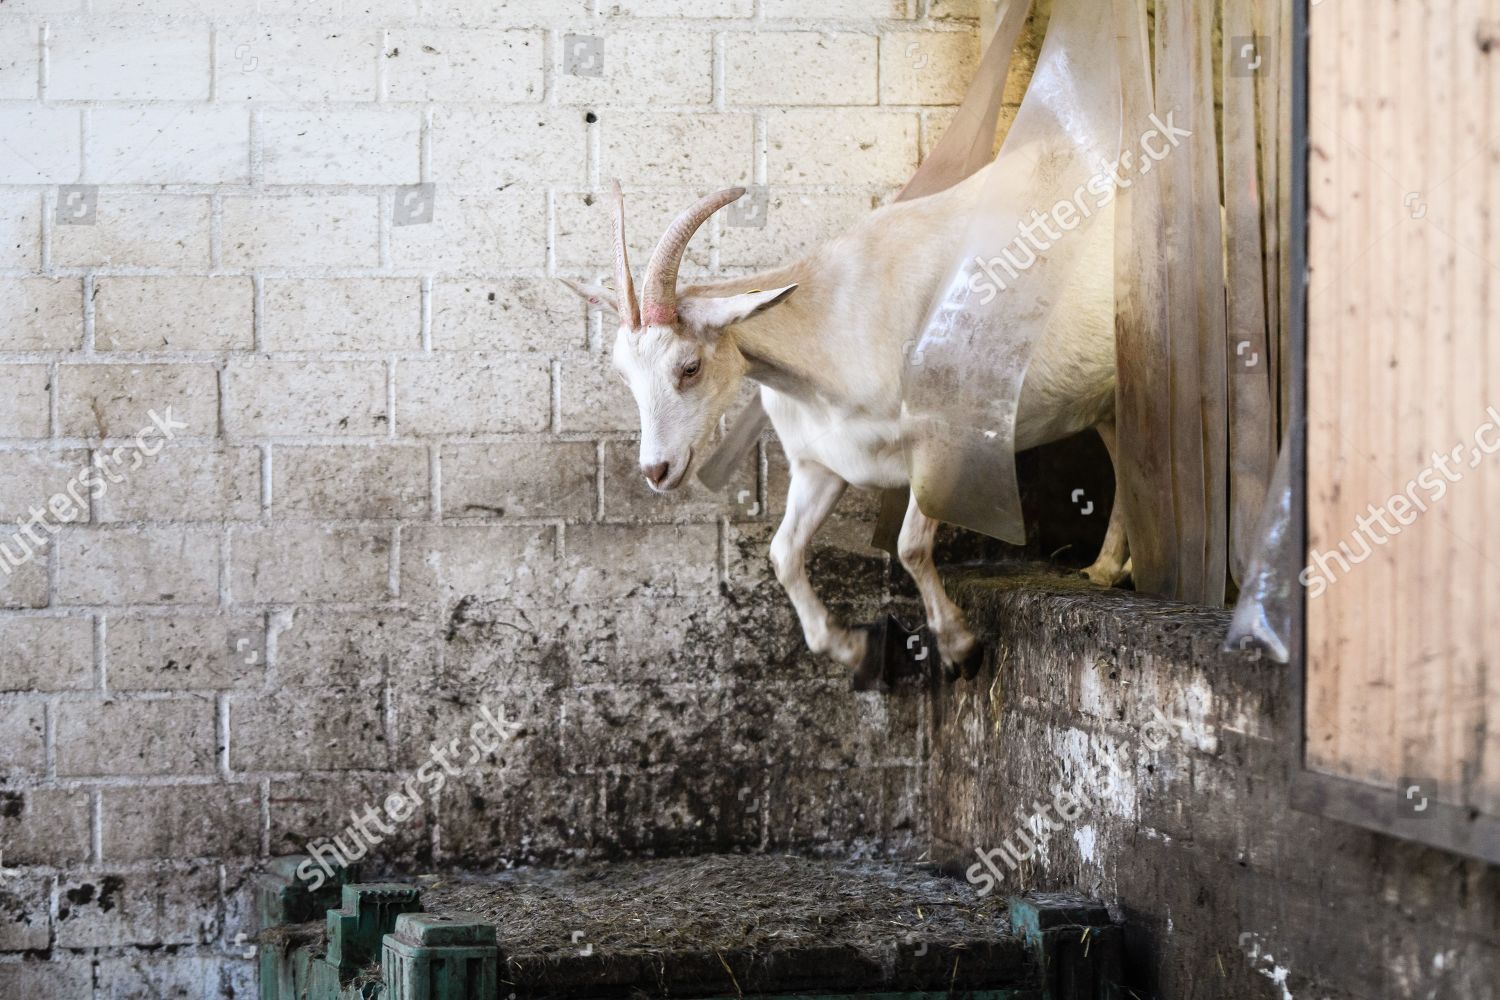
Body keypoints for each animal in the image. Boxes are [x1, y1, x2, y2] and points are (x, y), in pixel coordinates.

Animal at [561, 172, 1128, 673]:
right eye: (623, 374)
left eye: (690, 366)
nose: (655, 470)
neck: (834, 323)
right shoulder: (819, 465)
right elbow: (783, 553)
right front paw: (850, 649)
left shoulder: (943, 442)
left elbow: (910, 546)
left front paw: (959, 646)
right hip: (1107, 404)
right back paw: (1104, 570)